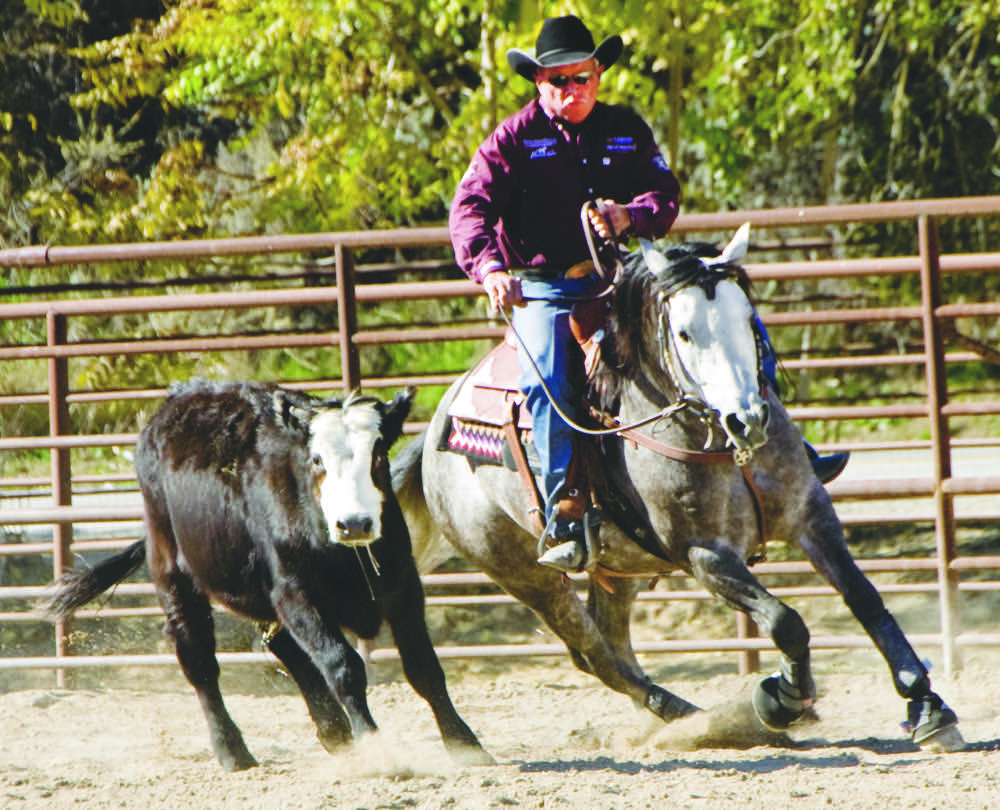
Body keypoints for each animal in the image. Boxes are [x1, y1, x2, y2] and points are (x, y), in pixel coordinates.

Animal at [47, 379, 491, 770]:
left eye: (378, 457)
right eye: (317, 460)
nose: (355, 524)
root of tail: (178, 398)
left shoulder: (403, 586)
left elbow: (424, 668)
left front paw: (465, 744)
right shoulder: (296, 593)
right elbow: (343, 667)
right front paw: (376, 750)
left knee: (281, 646)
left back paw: (333, 731)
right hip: (172, 569)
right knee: (199, 659)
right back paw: (233, 752)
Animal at [394, 226, 963, 750]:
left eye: (746, 318)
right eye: (684, 334)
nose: (747, 420)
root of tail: (438, 428)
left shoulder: (812, 514)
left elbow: (865, 599)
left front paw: (927, 707)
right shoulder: (704, 555)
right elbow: (785, 622)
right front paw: (781, 699)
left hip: (620, 567)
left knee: (613, 643)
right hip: (521, 573)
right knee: (593, 654)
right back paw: (701, 720)